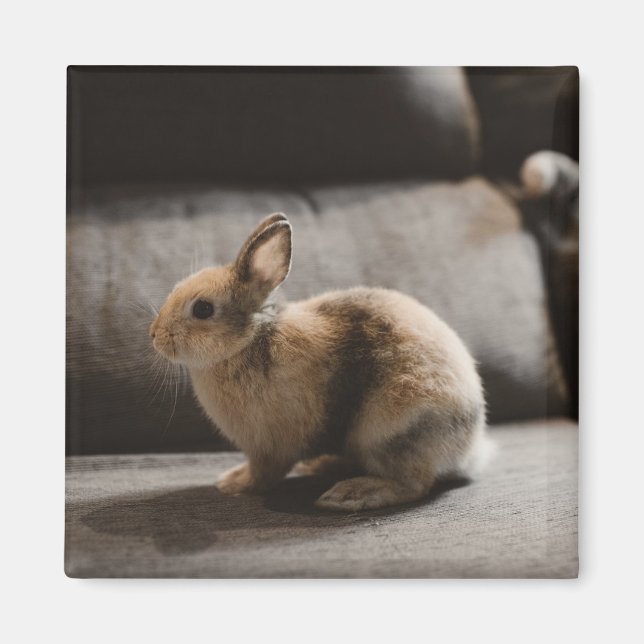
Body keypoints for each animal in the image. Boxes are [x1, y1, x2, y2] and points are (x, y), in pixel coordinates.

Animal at [149, 213, 491, 512]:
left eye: (203, 309)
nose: (154, 335)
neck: (250, 340)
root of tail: (470, 447)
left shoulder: (270, 447)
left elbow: (263, 473)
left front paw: (233, 484)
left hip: (390, 431)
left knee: (414, 484)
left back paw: (349, 494)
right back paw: (323, 465)